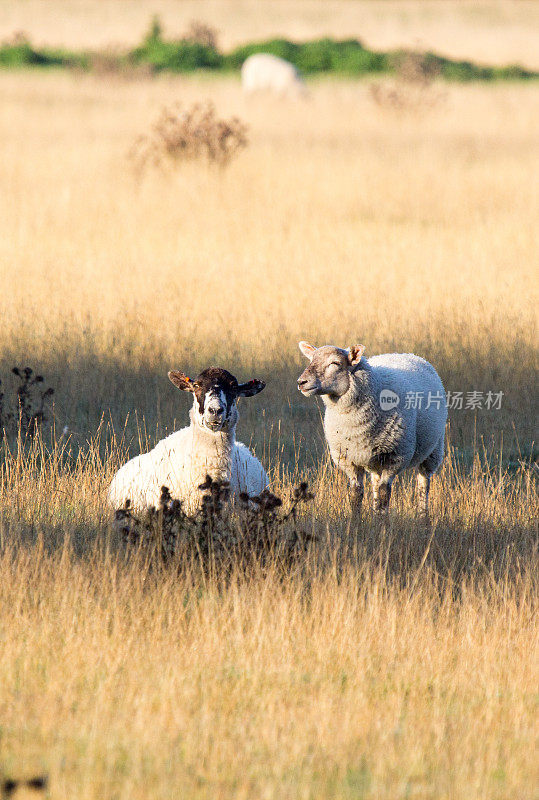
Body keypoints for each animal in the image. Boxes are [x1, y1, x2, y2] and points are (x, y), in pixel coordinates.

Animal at [298, 342, 446, 520]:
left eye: (335, 363)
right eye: (311, 360)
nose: (301, 382)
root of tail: (408, 354)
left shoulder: (395, 457)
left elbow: (384, 493)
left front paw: (382, 523)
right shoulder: (349, 459)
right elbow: (356, 494)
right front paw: (355, 522)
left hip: (433, 450)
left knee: (423, 484)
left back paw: (423, 517)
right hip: (375, 459)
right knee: (375, 483)